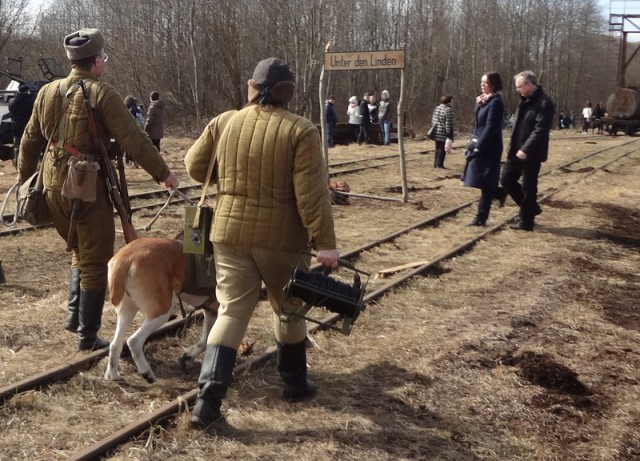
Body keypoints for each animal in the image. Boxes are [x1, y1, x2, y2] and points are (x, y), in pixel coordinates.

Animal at [102, 235, 218, 382]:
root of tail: (125, 258)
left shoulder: (211, 312)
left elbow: (205, 340)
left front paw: (188, 357)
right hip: (162, 311)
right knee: (134, 341)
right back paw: (147, 373)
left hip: (127, 311)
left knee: (115, 344)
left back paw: (113, 375)